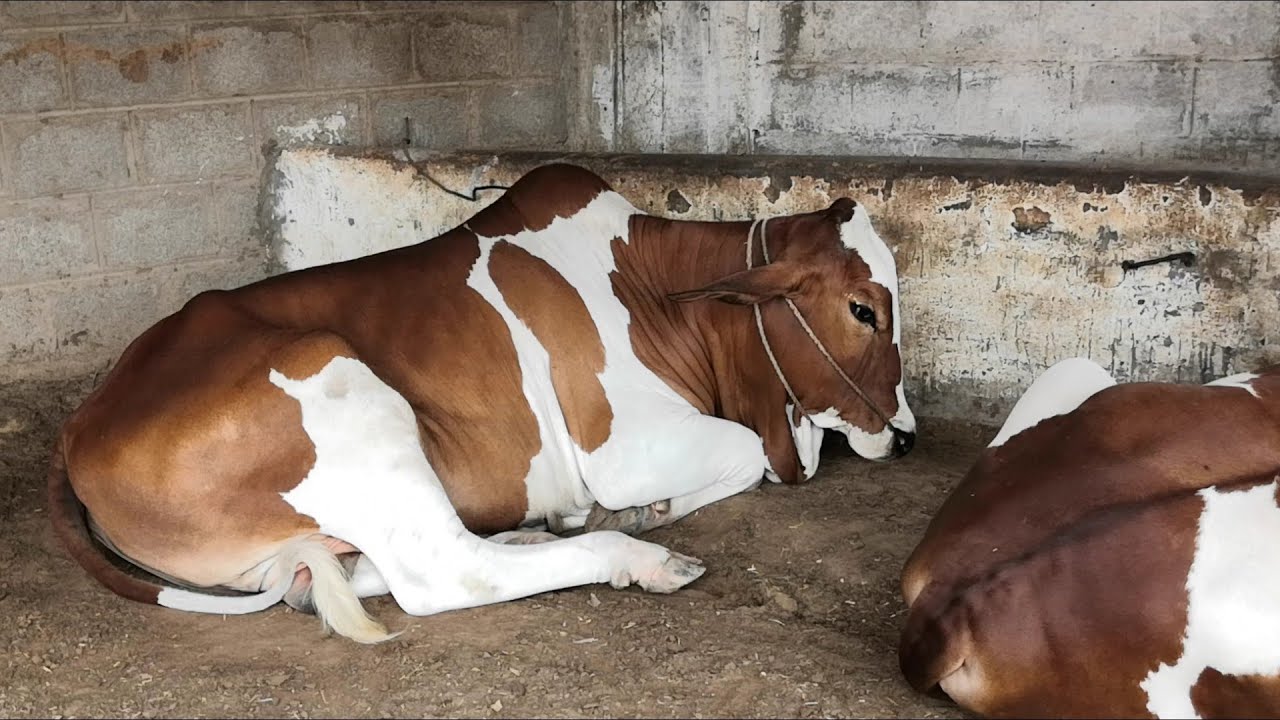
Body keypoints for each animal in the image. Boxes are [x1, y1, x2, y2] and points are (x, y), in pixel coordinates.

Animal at [48, 163, 916, 643]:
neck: (654, 289)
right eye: (863, 310)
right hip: (335, 380)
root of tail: (83, 422)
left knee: (331, 575)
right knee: (441, 573)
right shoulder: (621, 447)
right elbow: (746, 453)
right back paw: (636, 557)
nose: (908, 438)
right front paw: (645, 514)